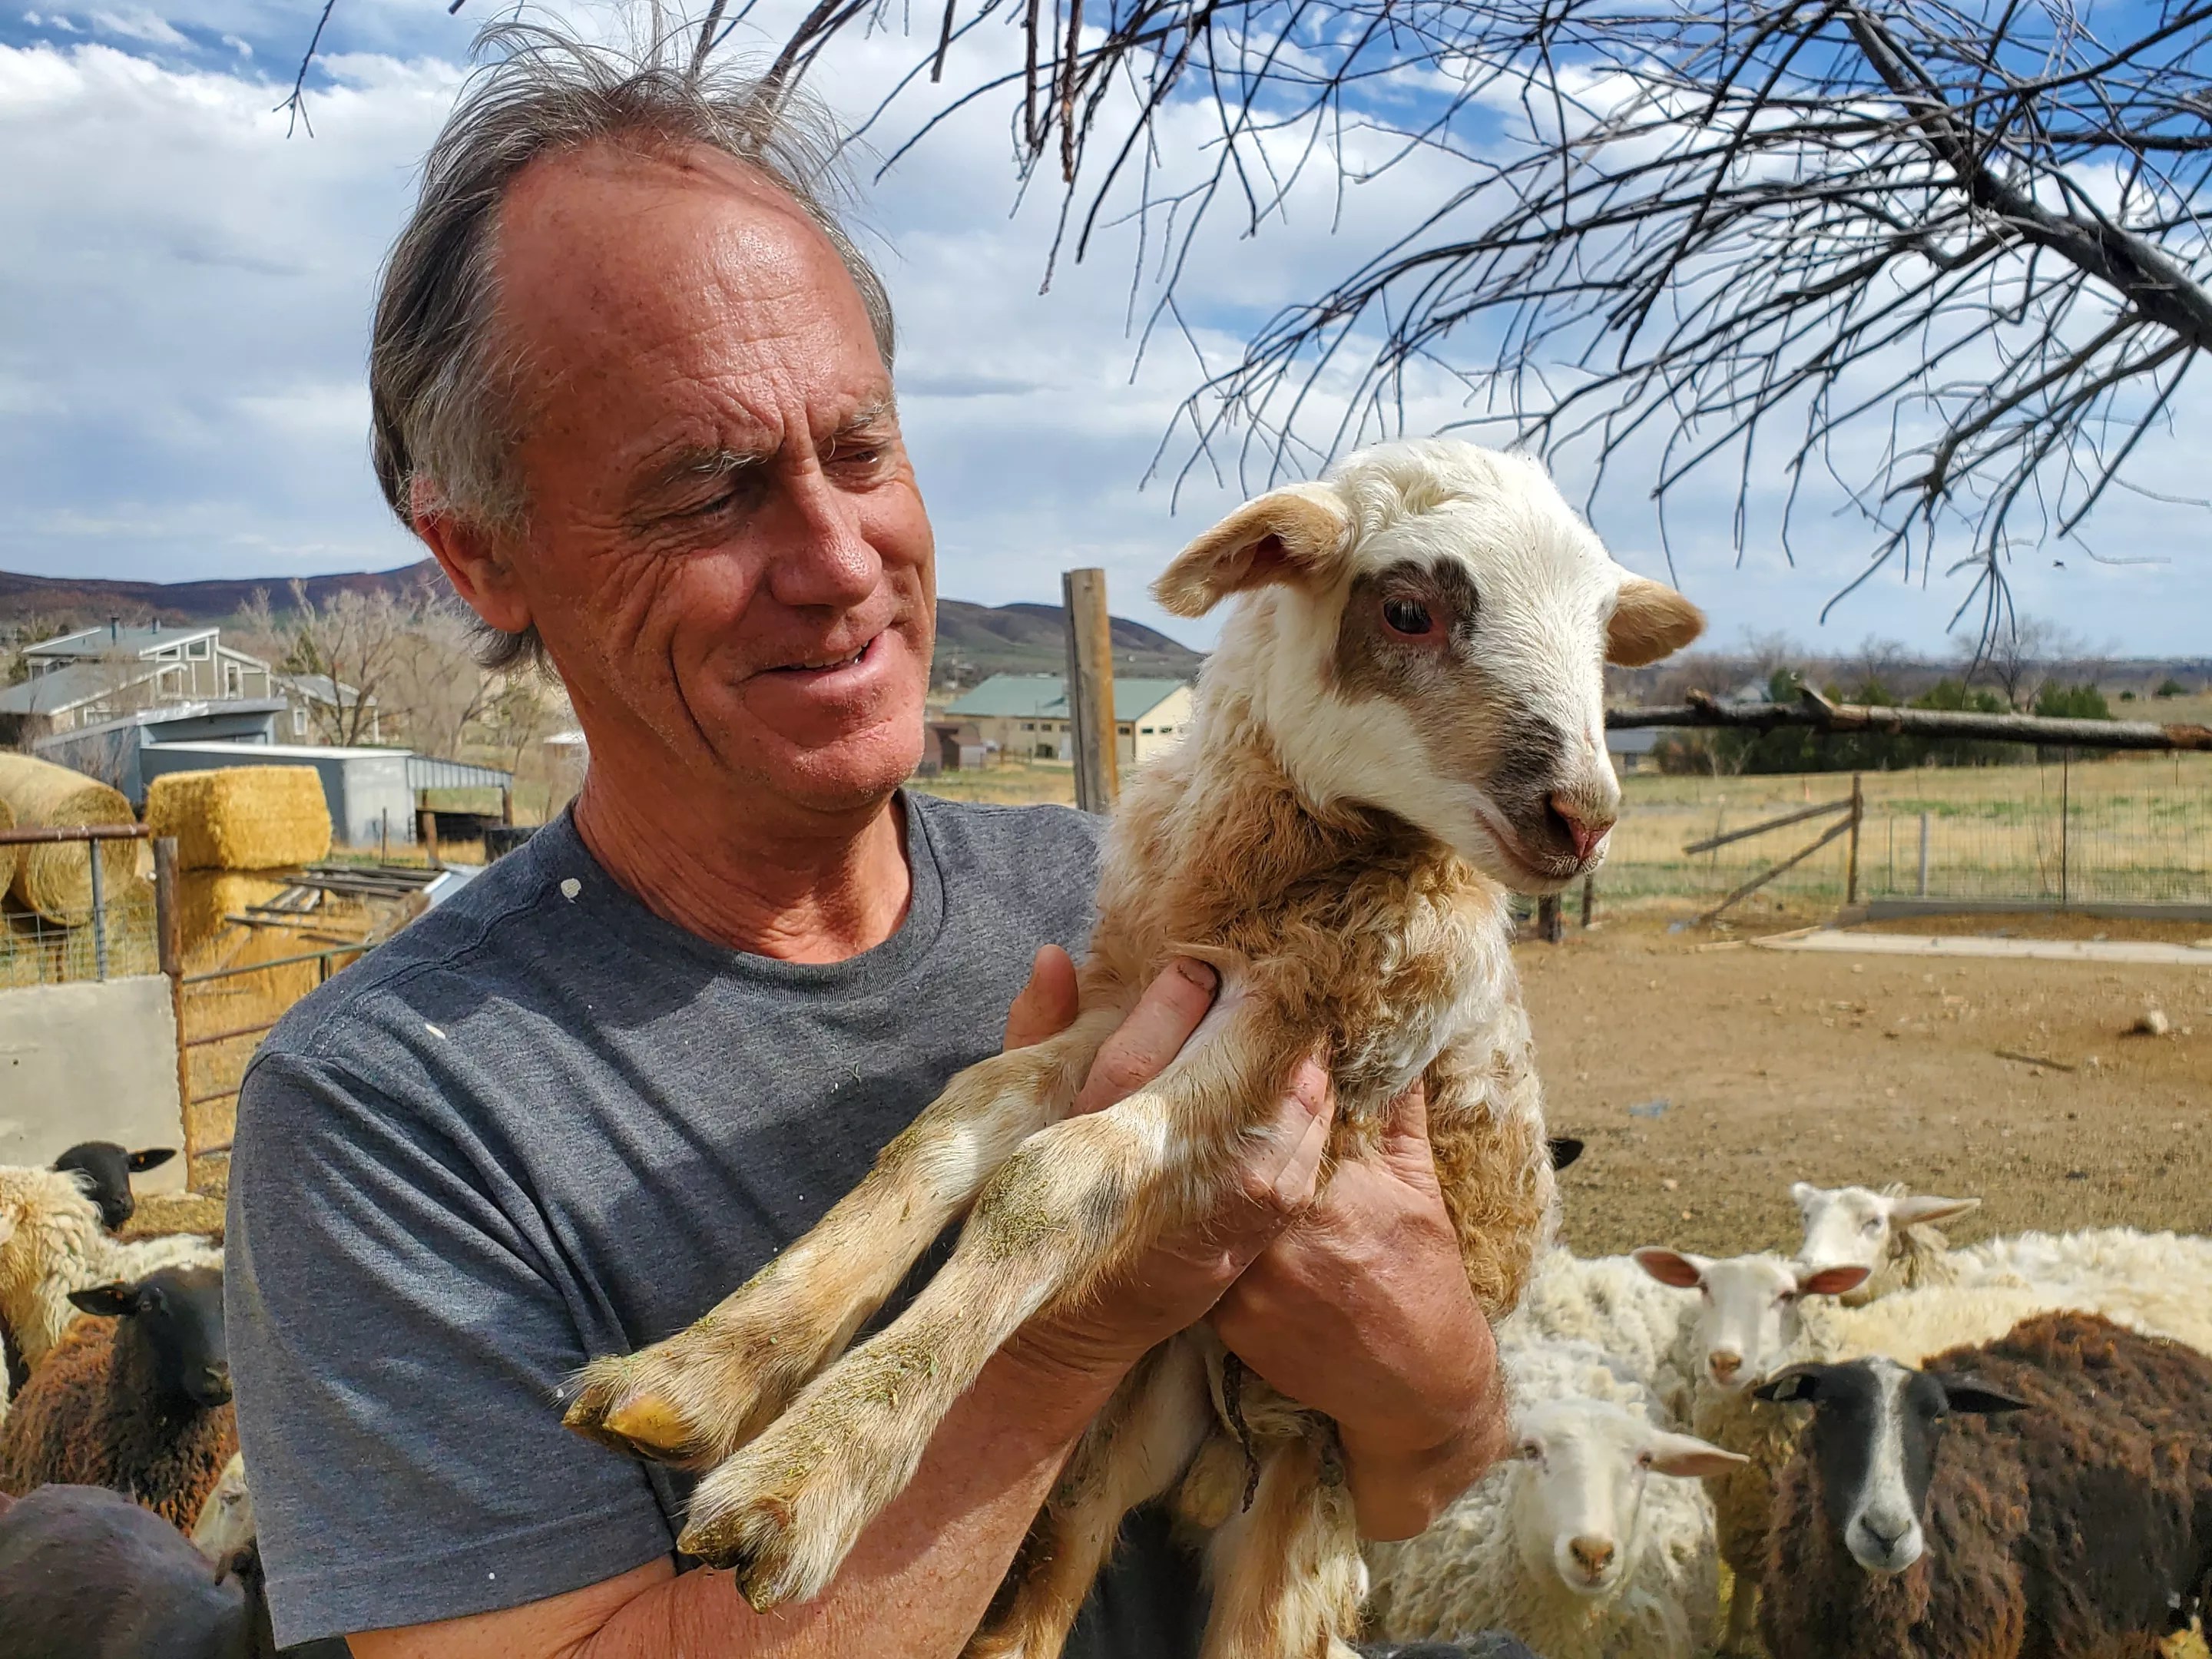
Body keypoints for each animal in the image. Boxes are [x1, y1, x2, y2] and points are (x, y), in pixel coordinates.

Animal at [561, 438, 1704, 1657]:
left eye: (1604, 641)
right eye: (1407, 610)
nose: (1584, 817)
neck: (1270, 876)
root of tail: (1215, 1468)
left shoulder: (1312, 1022)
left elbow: (1055, 1179)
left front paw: (800, 1482)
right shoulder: (1145, 992)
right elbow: (951, 1128)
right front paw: (692, 1374)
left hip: (1303, 1519)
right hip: (1112, 1449)